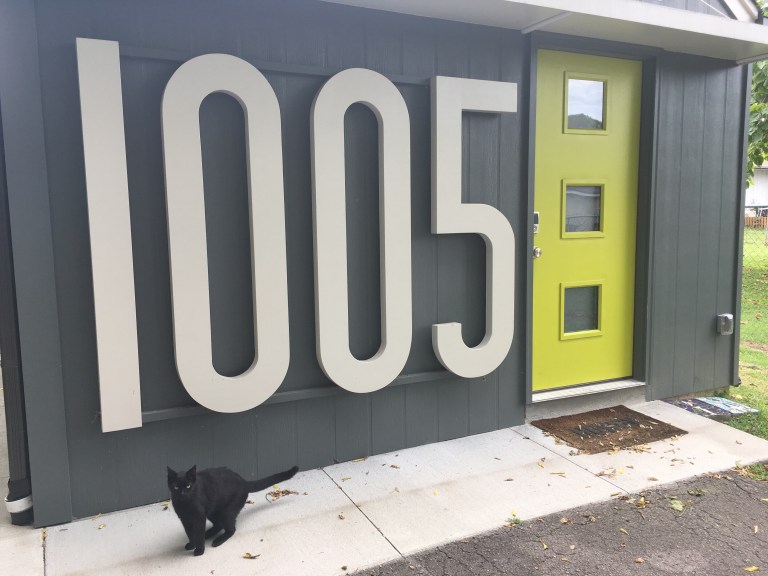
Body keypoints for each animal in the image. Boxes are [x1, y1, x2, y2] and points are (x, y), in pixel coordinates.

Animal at [167, 464, 299, 556]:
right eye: (176, 487)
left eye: (188, 486)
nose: (182, 493)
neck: (185, 504)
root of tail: (244, 482)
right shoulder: (185, 519)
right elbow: (189, 533)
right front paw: (192, 544)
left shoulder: (199, 518)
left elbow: (198, 534)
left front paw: (199, 550)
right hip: (214, 511)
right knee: (219, 525)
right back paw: (208, 534)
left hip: (226, 512)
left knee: (231, 529)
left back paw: (217, 540)